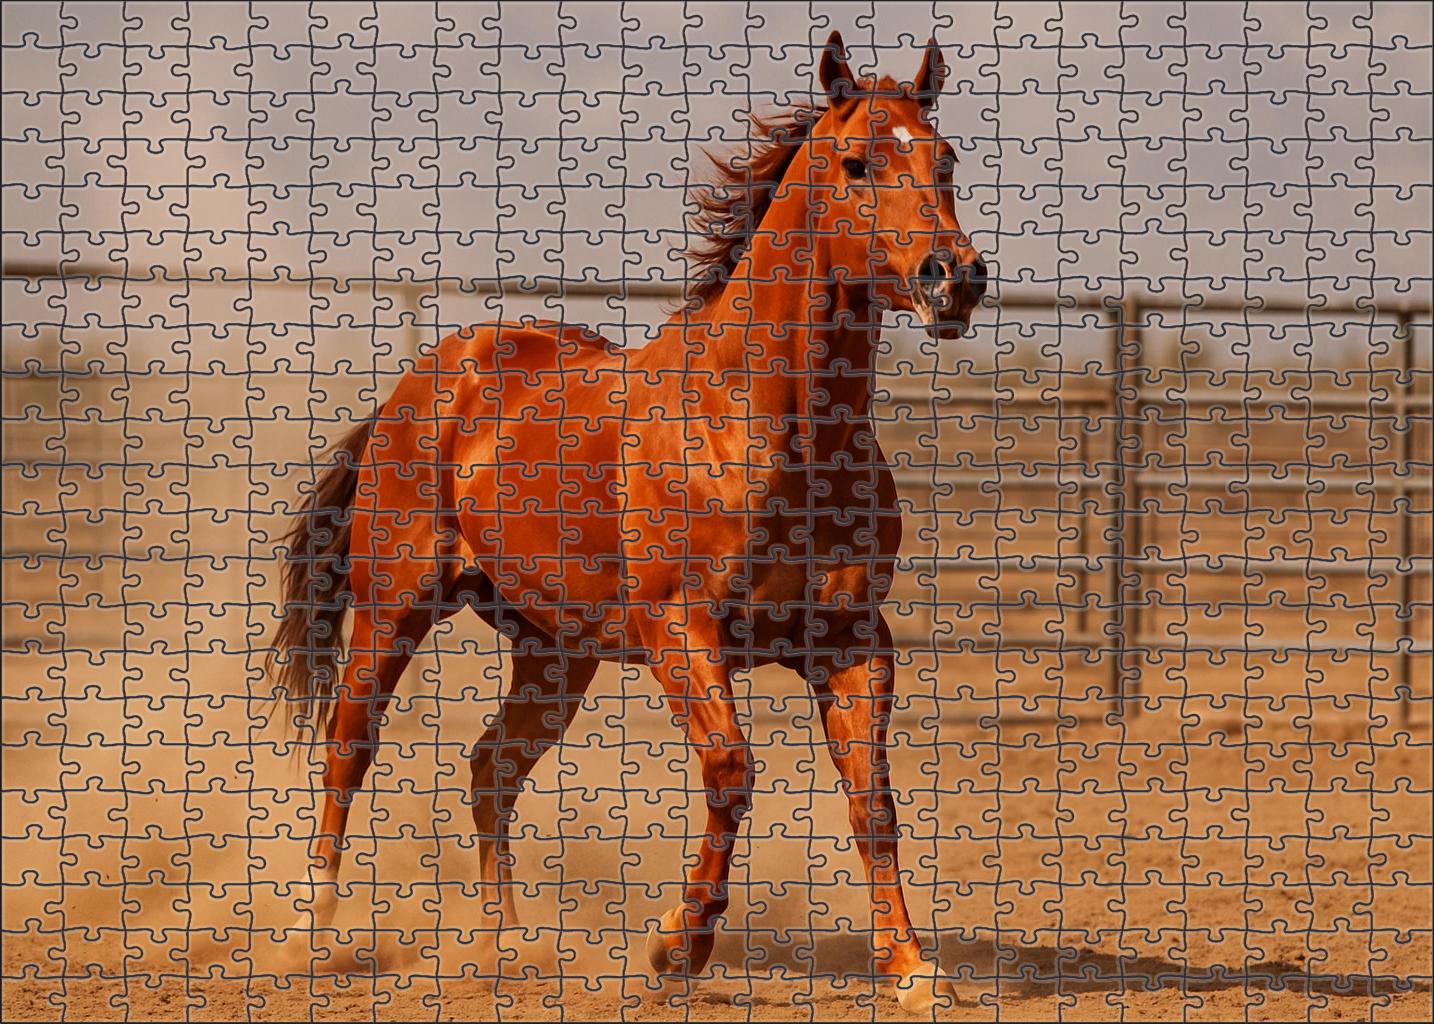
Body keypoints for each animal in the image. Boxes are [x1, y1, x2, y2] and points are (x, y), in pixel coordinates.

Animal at [269, 30, 986, 1012]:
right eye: (857, 164)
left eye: (945, 160)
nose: (953, 278)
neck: (772, 430)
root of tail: (422, 387)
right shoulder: (680, 632)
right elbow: (731, 771)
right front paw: (675, 949)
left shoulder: (851, 642)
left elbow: (872, 802)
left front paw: (912, 971)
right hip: (394, 610)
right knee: (350, 746)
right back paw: (315, 930)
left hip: (555, 650)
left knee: (492, 768)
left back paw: (505, 945)